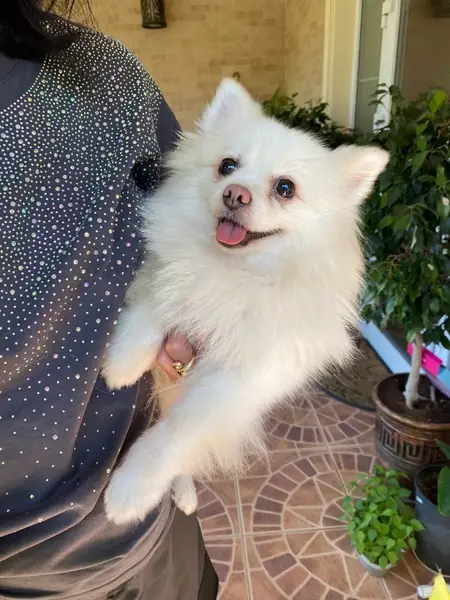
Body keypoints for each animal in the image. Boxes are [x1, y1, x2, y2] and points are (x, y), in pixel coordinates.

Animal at [102, 78, 388, 525]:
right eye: (227, 166)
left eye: (285, 188)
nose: (235, 194)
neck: (233, 273)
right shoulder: (169, 276)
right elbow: (151, 307)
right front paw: (121, 365)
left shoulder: (239, 379)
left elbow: (176, 434)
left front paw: (131, 490)